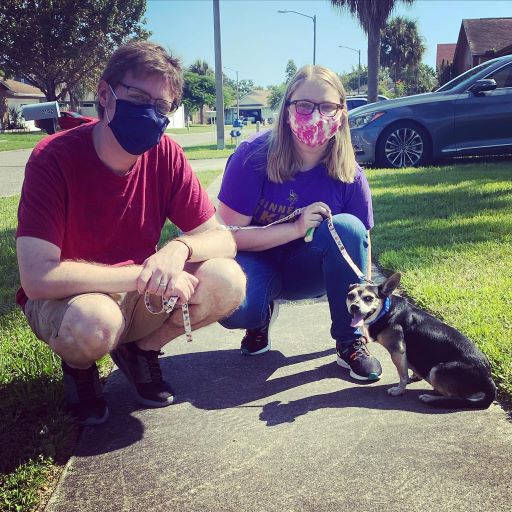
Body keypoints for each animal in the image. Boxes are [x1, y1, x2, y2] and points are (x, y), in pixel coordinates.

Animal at [346, 272, 496, 409]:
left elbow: (402, 375)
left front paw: (399, 390)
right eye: (350, 296)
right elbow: (408, 368)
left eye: (368, 298)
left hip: (436, 371)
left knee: (456, 398)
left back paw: (431, 399)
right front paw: (414, 375)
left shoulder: (398, 351)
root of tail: (488, 378)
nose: (354, 306)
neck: (386, 311)